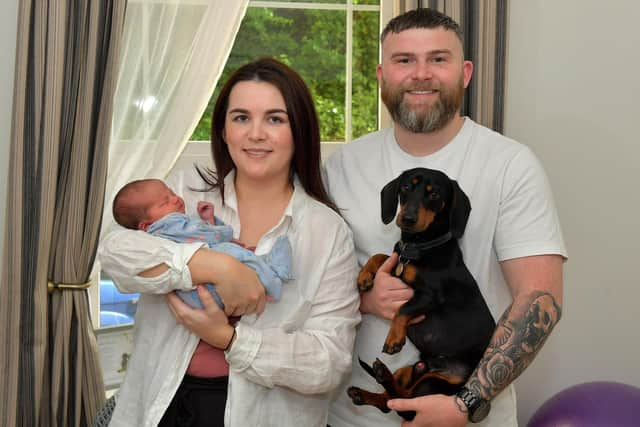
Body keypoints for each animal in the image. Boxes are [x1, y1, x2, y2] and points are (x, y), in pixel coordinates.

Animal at [350, 167, 496, 422]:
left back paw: (382, 374)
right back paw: (364, 392)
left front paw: (394, 339)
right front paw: (365, 276)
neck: (418, 247)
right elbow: (380, 256)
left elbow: (403, 308)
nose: (407, 219)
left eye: (434, 194)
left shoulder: (430, 296)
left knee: (405, 403)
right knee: (390, 402)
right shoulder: (397, 264)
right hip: (408, 370)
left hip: (433, 385)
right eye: (406, 188)